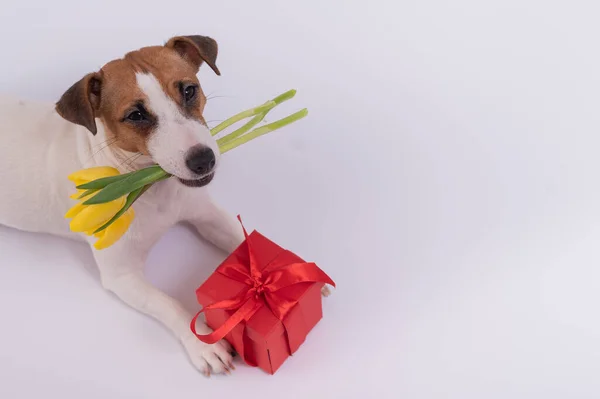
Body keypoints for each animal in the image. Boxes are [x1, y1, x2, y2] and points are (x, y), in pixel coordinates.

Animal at [0, 36, 326, 376]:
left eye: (189, 90)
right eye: (135, 115)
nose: (204, 159)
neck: (151, 185)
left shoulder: (208, 216)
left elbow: (244, 241)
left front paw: (292, 272)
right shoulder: (122, 276)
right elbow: (168, 302)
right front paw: (202, 343)